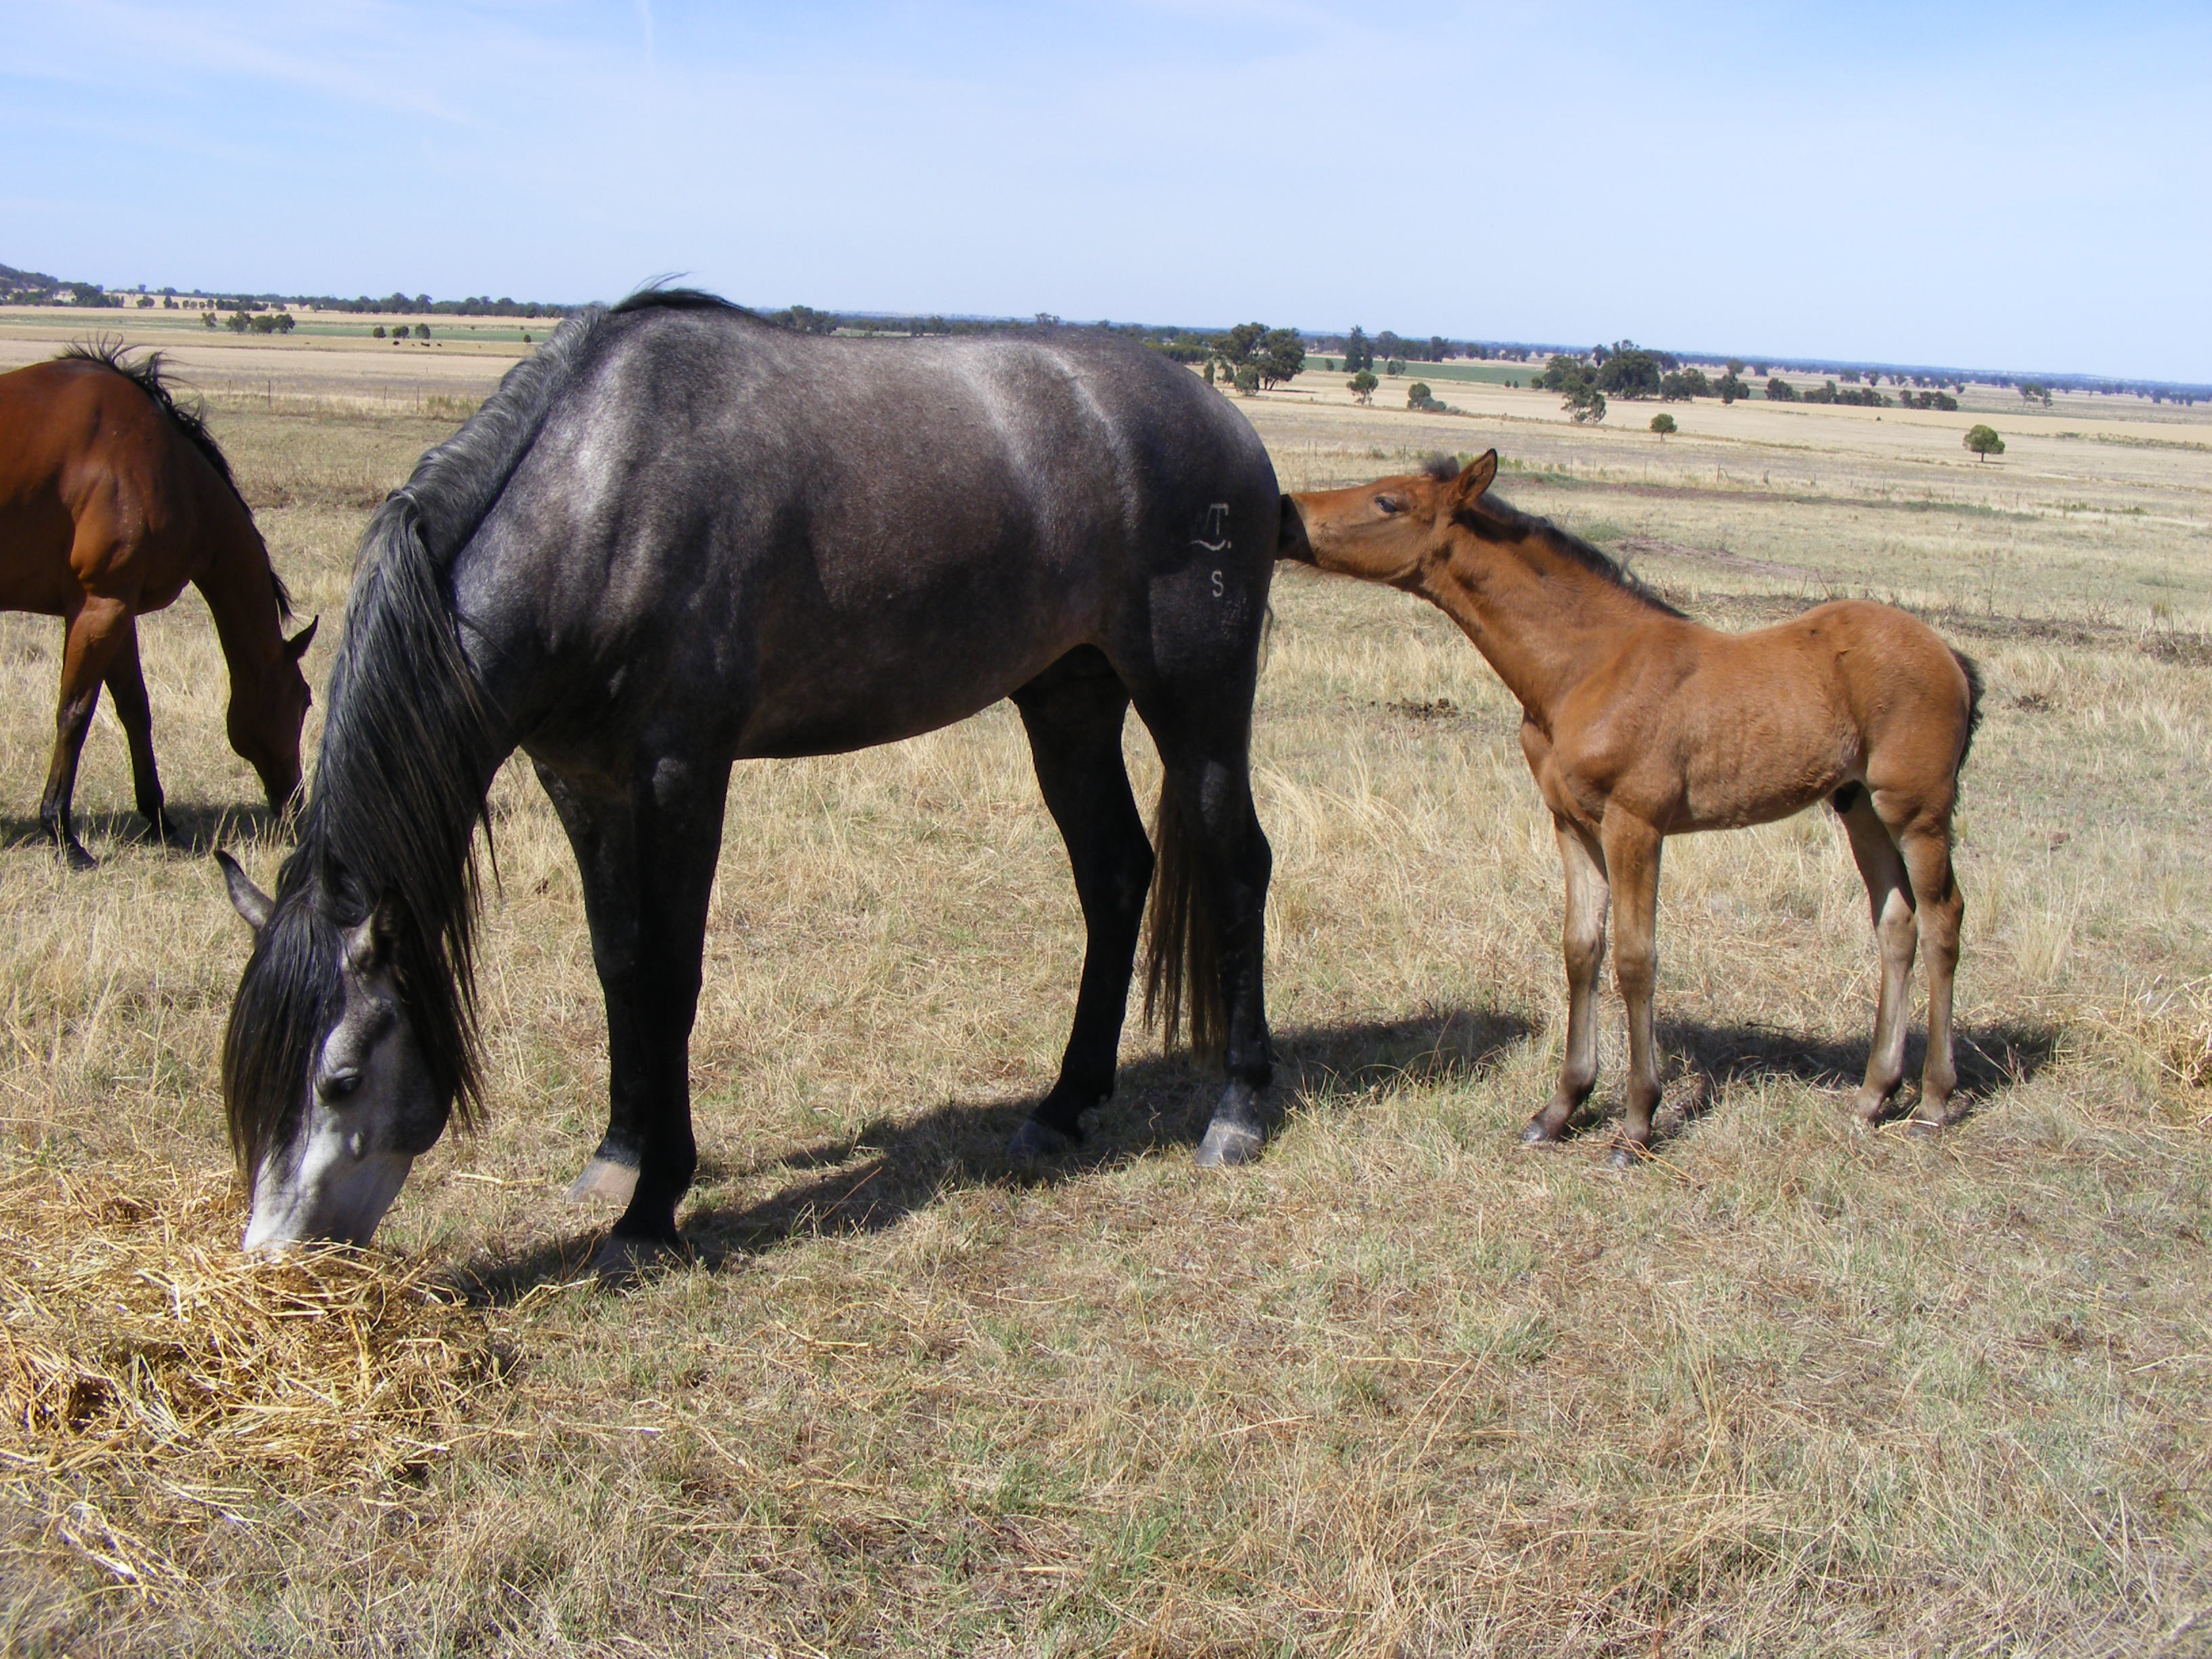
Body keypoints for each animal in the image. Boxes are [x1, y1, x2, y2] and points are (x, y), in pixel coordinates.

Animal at [0, 347, 316, 872]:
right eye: (304, 700)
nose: (296, 804)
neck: (169, 469)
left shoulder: (115, 610)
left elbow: (135, 710)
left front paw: (159, 820)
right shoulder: (101, 606)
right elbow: (74, 714)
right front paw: (62, 832)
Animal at [1283, 449, 1990, 1159]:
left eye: (1389, 502)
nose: (1288, 510)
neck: (1587, 667)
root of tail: (1949, 655)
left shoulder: (1636, 825)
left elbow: (1634, 958)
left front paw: (1637, 1122)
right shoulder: (1572, 824)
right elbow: (1581, 949)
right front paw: (1560, 1109)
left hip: (1917, 811)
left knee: (1943, 920)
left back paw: (1933, 1101)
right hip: (1858, 807)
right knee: (1896, 923)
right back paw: (1873, 1096)